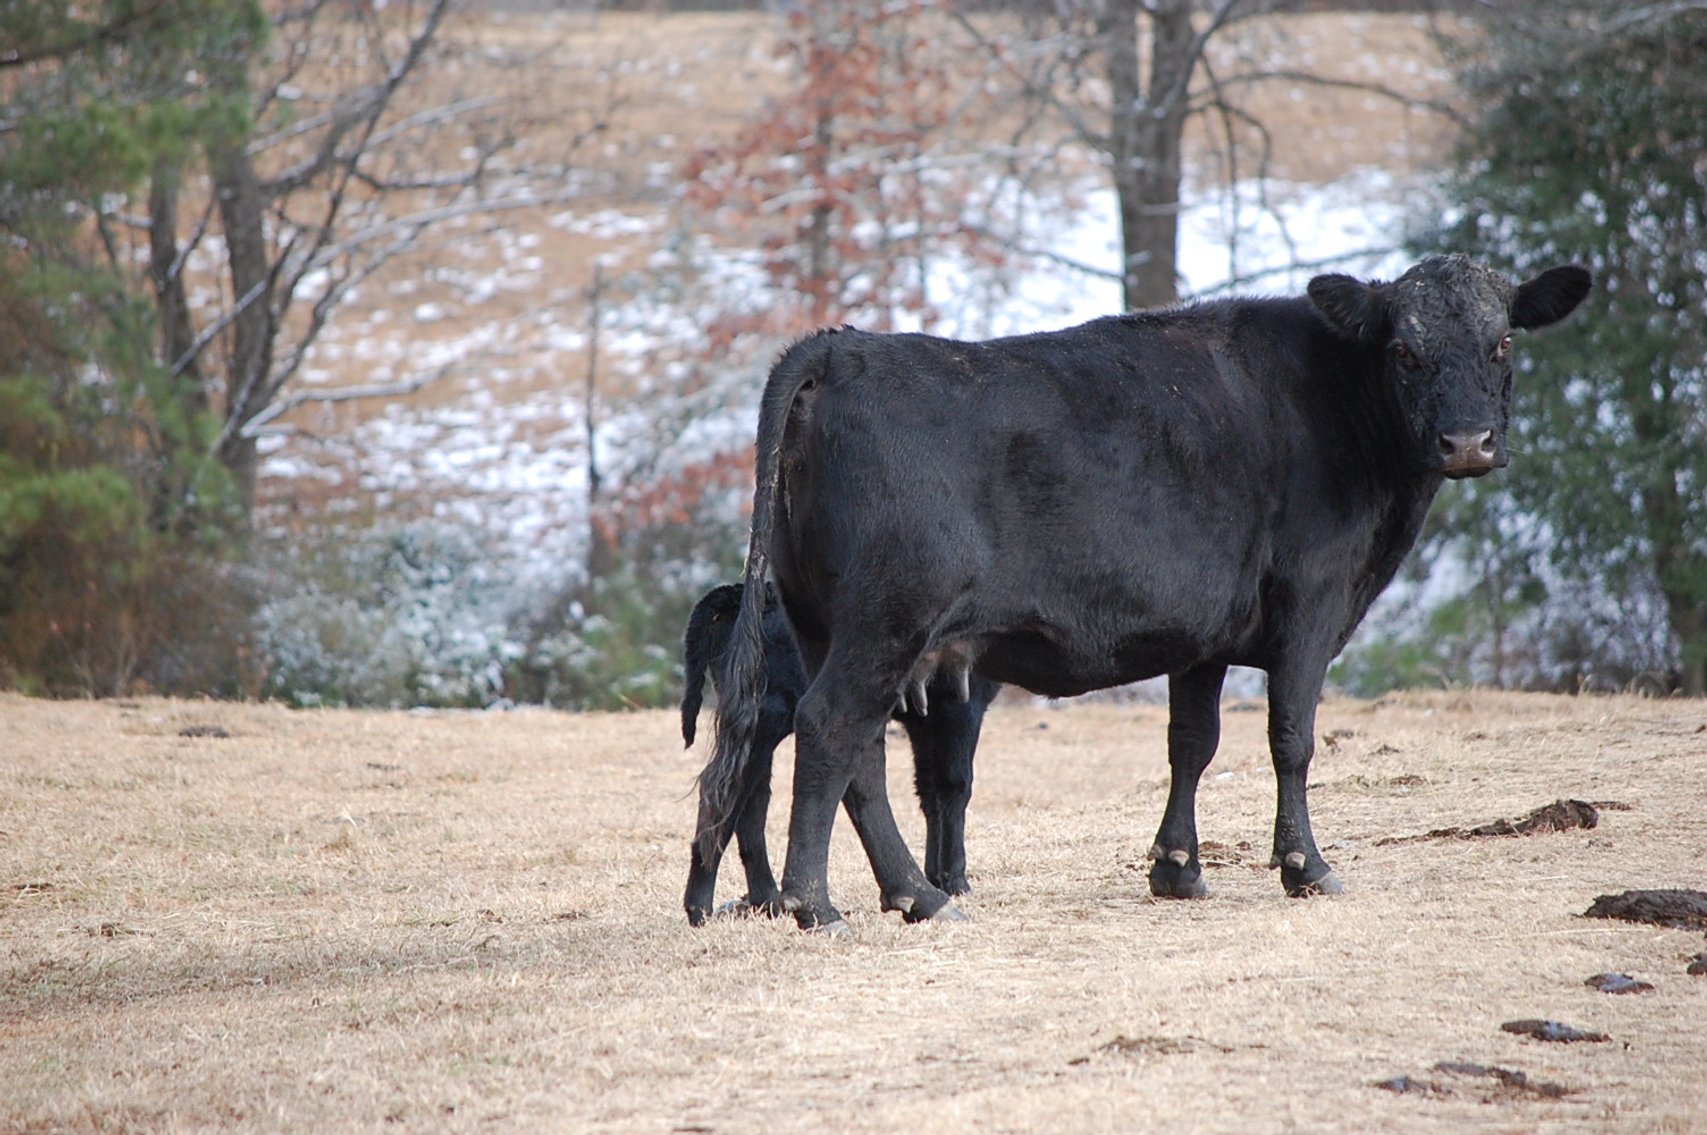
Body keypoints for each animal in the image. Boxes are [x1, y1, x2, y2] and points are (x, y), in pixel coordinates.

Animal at [681, 581, 999, 925]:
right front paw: (955, 880)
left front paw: (935, 876)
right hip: (764, 715)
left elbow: (929, 792)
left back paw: (767, 900)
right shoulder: (961, 705)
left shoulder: (924, 719)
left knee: (753, 802)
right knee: (722, 789)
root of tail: (739, 594)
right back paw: (701, 906)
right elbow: (955, 786)